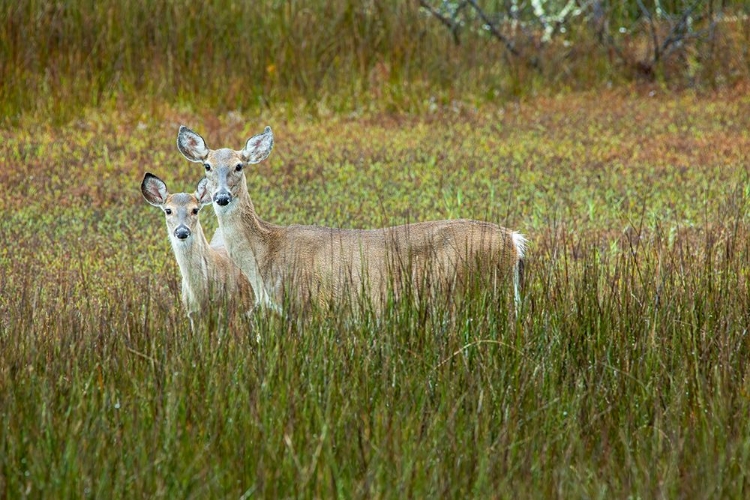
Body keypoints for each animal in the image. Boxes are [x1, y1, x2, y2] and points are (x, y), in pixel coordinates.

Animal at [178, 125, 524, 314]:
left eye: (239, 166)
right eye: (207, 166)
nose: (222, 197)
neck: (265, 254)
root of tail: (513, 239)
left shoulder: (307, 302)